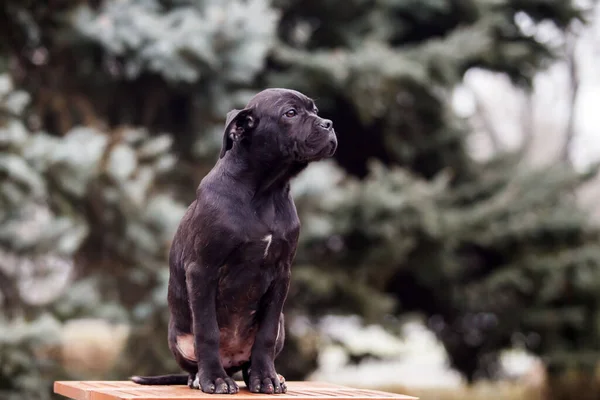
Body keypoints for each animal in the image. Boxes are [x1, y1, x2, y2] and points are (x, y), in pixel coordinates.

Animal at [131, 88, 338, 394]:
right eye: (290, 113)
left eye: (315, 110)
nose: (329, 124)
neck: (265, 191)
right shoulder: (202, 270)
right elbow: (207, 331)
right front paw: (214, 380)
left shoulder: (281, 273)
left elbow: (265, 334)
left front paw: (266, 378)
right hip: (179, 337)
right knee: (195, 360)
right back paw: (201, 377)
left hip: (280, 326)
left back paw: (265, 375)